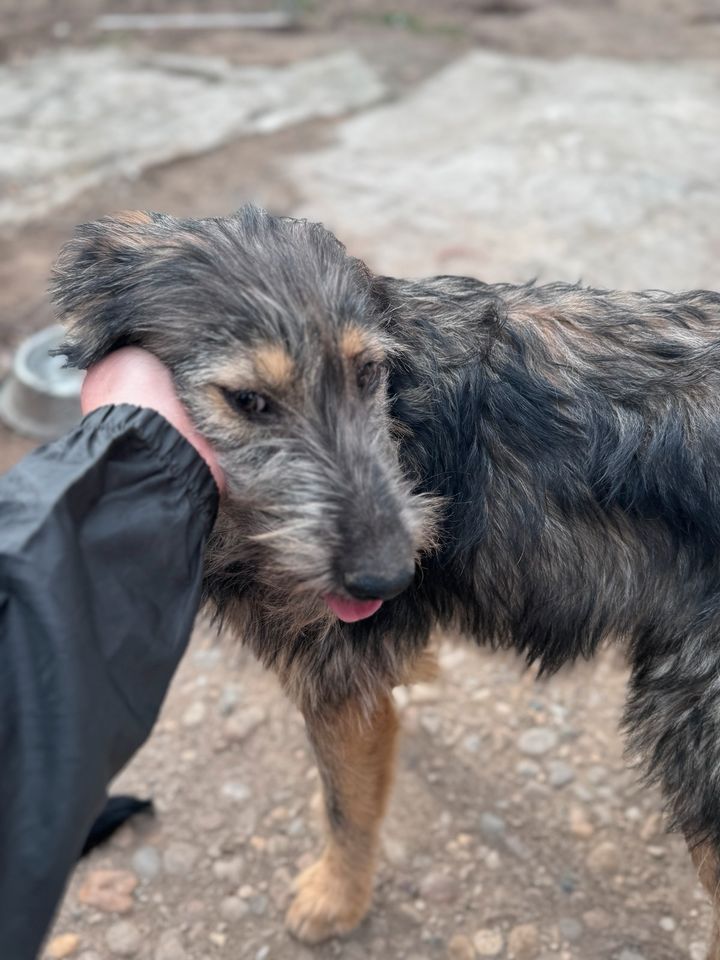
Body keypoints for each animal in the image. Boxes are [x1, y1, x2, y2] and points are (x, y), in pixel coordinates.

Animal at [53, 208, 720, 952]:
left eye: (367, 372)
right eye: (249, 400)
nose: (391, 576)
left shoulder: (338, 681)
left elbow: (348, 808)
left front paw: (336, 899)